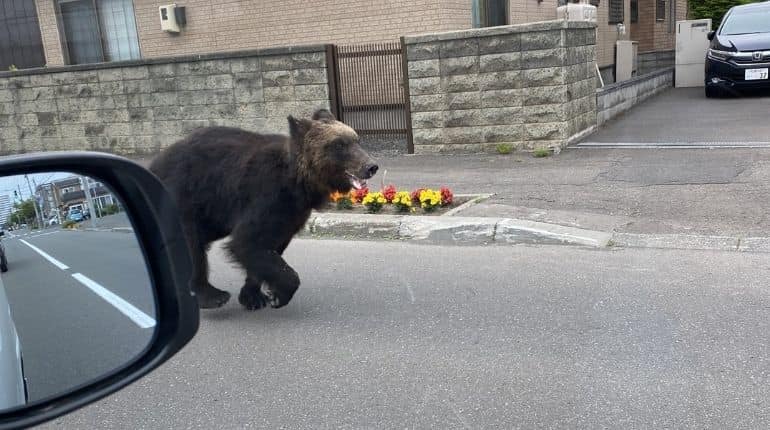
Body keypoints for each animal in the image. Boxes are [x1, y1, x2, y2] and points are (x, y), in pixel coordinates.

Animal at [149, 109, 378, 310]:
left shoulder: (291, 214)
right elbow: (248, 240)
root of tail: (154, 164)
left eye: (356, 139)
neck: (299, 183)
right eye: (339, 144)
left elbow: (266, 247)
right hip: (185, 196)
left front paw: (255, 296)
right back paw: (211, 295)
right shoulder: (266, 196)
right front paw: (279, 295)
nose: (371, 166)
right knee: (191, 245)